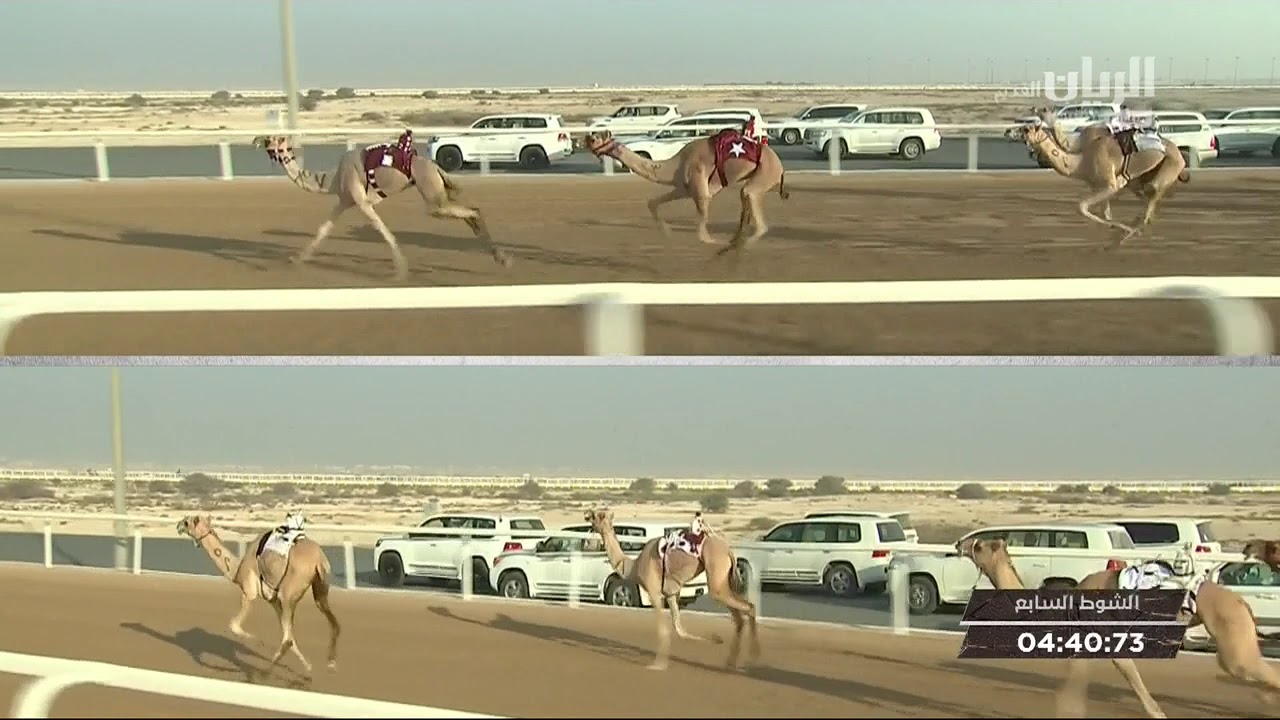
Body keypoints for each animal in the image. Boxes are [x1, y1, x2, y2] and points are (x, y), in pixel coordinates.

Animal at [176, 514, 340, 680]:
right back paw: (330, 664)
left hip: (288, 592)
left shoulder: (249, 592)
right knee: (332, 624)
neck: (237, 570)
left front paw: (257, 641)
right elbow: (290, 636)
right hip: (318, 589)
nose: (178, 526)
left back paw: (262, 673)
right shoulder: (274, 601)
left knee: (287, 639)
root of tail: (319, 561)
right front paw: (308, 669)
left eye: (187, 522)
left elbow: (234, 626)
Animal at [252, 134, 511, 281]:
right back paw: (500, 258)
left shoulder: (360, 200)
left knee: (472, 211)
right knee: (470, 213)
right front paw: (296, 260)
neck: (333, 179)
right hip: (438, 192)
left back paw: (503, 259)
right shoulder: (345, 200)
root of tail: (434, 166)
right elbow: (323, 229)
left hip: (430, 192)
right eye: (269, 142)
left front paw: (401, 271)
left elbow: (381, 229)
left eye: (278, 144)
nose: (259, 142)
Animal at [583, 128, 789, 255]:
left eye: (595, 138)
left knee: (754, 207)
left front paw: (717, 246)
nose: (585, 139)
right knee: (746, 203)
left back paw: (734, 249)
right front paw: (667, 233)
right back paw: (734, 243)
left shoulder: (701, 193)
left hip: (765, 173)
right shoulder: (683, 189)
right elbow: (653, 202)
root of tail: (780, 166)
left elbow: (703, 237)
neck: (676, 163)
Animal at [583, 509, 759, 671]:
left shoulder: (654, 593)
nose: (586, 515)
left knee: (749, 607)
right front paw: (716, 638)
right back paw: (731, 662)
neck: (634, 565)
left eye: (595, 516)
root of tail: (728, 550)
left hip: (717, 579)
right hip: (726, 581)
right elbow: (679, 628)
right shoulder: (671, 593)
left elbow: (664, 629)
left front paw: (658, 664)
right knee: (739, 618)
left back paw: (752, 658)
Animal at [1006, 121, 1189, 246]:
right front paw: (1117, 232)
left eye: (1026, 129)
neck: (1081, 163)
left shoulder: (1109, 185)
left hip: (1171, 165)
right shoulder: (1098, 186)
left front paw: (1121, 235)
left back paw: (1126, 237)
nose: (1007, 131)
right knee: (1145, 200)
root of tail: (1177, 151)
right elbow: (1106, 215)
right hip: (1140, 178)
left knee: (1150, 199)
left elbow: (1081, 207)